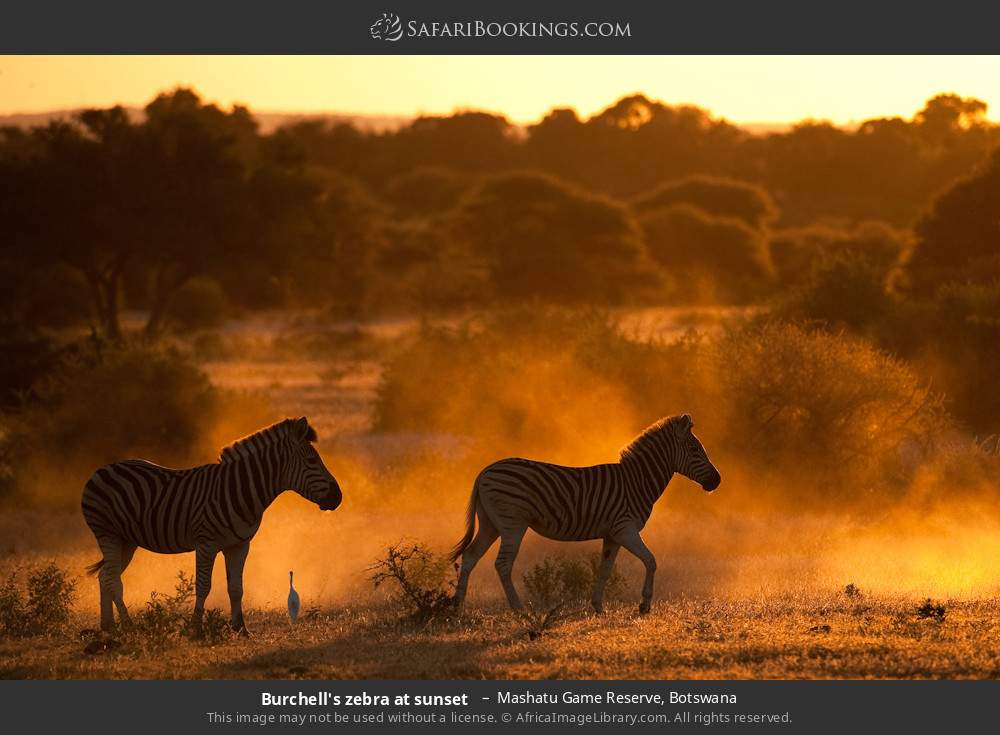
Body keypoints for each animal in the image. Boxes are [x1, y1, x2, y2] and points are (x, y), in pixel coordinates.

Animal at [81, 417, 342, 635]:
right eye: (312, 460)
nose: (338, 497)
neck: (240, 491)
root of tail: (102, 469)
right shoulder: (206, 543)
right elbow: (203, 586)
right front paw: (196, 630)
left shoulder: (239, 545)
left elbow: (236, 588)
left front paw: (240, 629)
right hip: (107, 532)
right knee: (113, 579)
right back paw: (127, 626)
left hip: (127, 540)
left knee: (105, 576)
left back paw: (108, 627)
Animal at [450, 414, 720, 615]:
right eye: (695, 448)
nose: (717, 481)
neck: (636, 481)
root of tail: (483, 472)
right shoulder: (625, 528)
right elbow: (651, 561)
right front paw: (644, 605)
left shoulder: (612, 535)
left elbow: (605, 569)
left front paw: (598, 607)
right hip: (512, 524)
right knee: (503, 564)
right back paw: (519, 610)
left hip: (490, 523)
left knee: (470, 556)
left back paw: (457, 607)